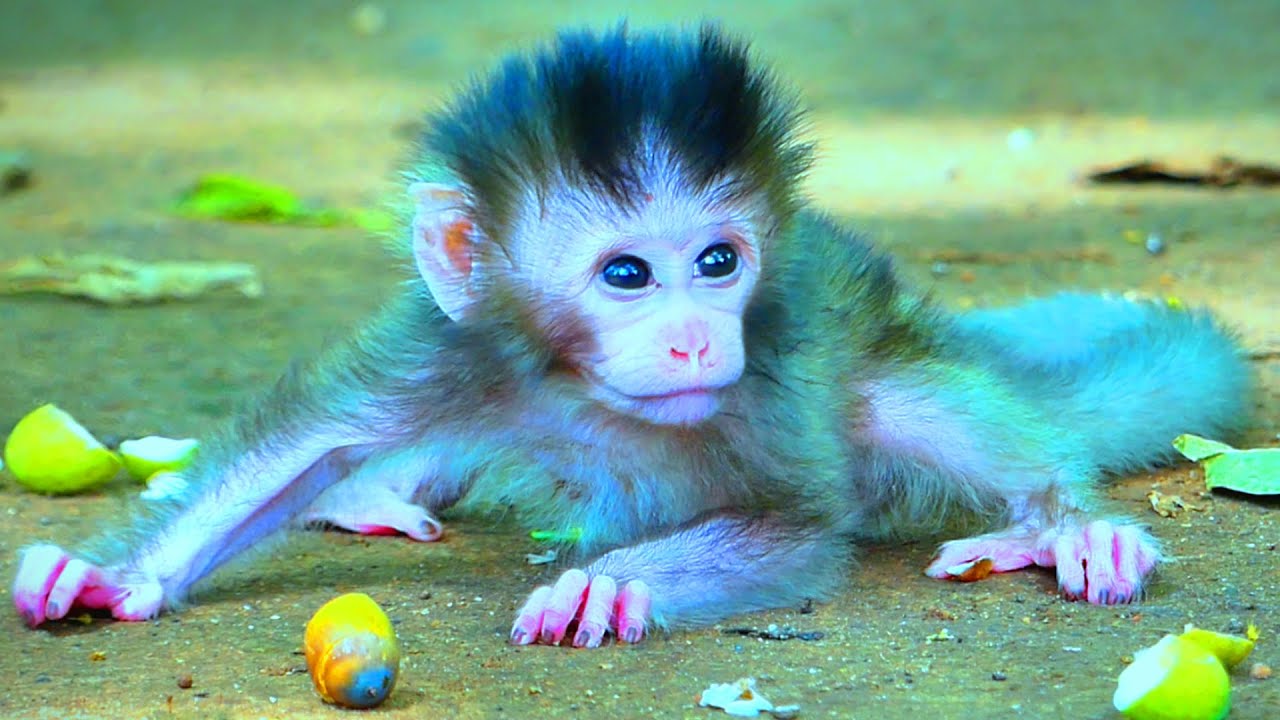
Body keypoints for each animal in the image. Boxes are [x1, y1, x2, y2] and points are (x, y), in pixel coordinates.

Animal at [11, 25, 1253, 648]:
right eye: (625, 274)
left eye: (717, 264)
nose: (699, 342)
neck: (582, 387)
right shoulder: (464, 342)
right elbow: (306, 447)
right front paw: (115, 577)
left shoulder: (775, 367)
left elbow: (789, 526)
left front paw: (609, 589)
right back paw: (377, 493)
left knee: (914, 409)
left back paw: (1063, 530)